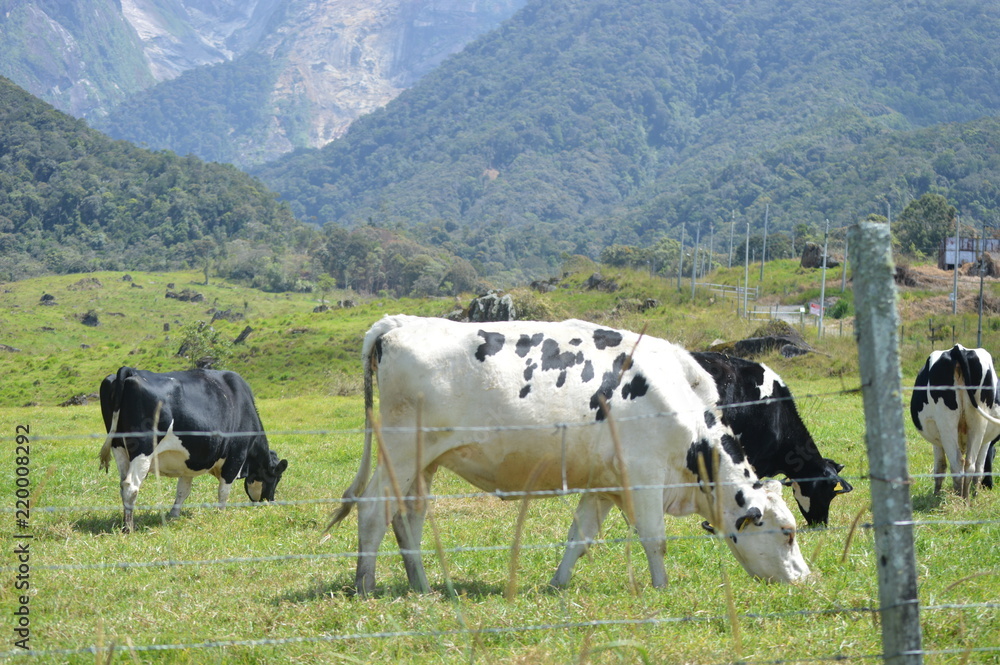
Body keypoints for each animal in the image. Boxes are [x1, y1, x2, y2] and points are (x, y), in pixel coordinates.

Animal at [97, 366, 288, 532]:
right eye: (276, 478)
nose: (270, 501)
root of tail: (131, 370)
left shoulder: (190, 462)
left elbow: (183, 490)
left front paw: (174, 514)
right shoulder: (236, 456)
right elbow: (224, 490)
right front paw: (221, 514)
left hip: (119, 446)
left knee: (123, 484)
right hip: (144, 449)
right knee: (131, 486)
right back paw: (128, 528)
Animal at [330, 316, 812, 596]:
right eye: (788, 533)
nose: (806, 578)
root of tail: (399, 324)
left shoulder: (603, 484)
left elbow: (578, 538)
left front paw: (557, 584)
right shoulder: (643, 476)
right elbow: (655, 539)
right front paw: (662, 589)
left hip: (424, 460)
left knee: (407, 517)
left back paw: (424, 586)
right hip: (400, 449)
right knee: (372, 509)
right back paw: (365, 585)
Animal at [912, 344, 1000, 496]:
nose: (989, 485)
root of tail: (958, 348)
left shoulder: (938, 439)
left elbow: (940, 467)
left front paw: (936, 494)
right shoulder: (986, 441)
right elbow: (978, 467)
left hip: (946, 423)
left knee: (959, 465)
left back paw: (960, 497)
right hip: (978, 422)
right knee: (969, 465)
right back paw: (965, 498)